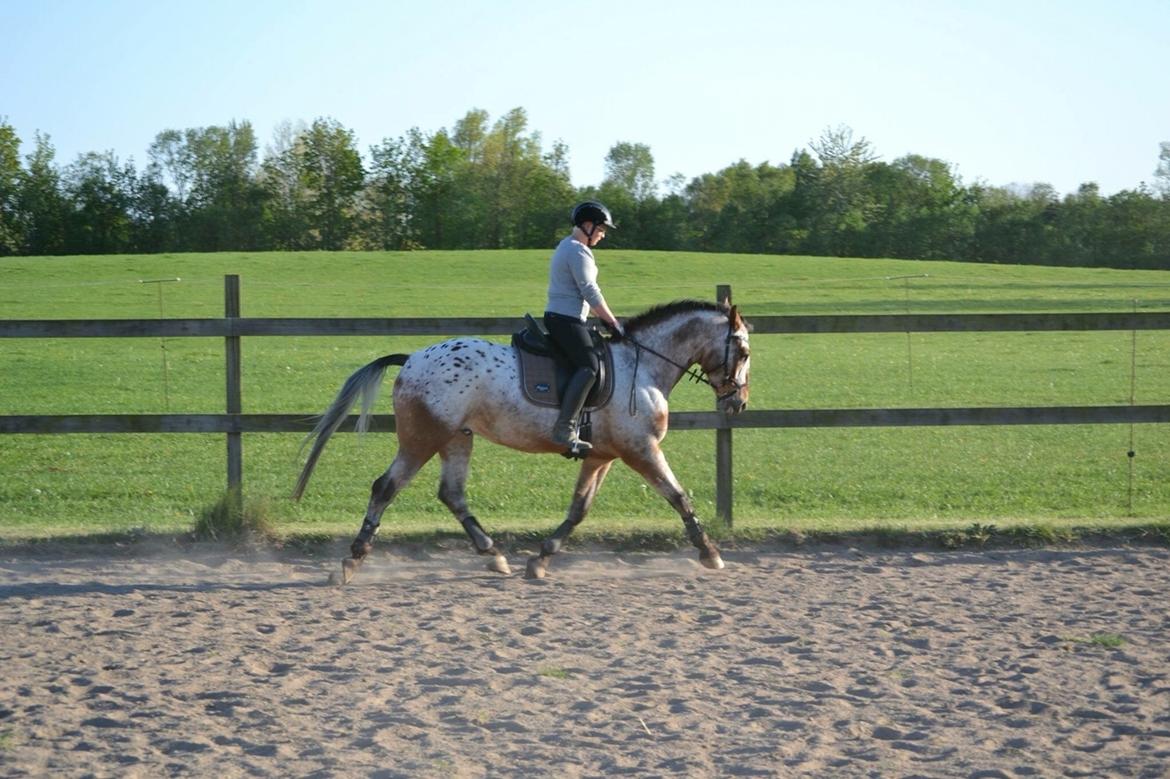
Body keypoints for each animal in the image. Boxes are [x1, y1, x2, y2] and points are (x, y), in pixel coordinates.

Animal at [292, 299, 748, 580]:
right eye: (743, 353)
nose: (738, 403)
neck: (644, 366)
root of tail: (412, 360)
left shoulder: (601, 456)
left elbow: (579, 509)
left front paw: (542, 559)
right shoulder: (642, 451)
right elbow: (678, 496)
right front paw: (710, 553)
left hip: (456, 438)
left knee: (451, 493)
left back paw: (493, 555)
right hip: (422, 439)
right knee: (386, 487)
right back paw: (352, 560)